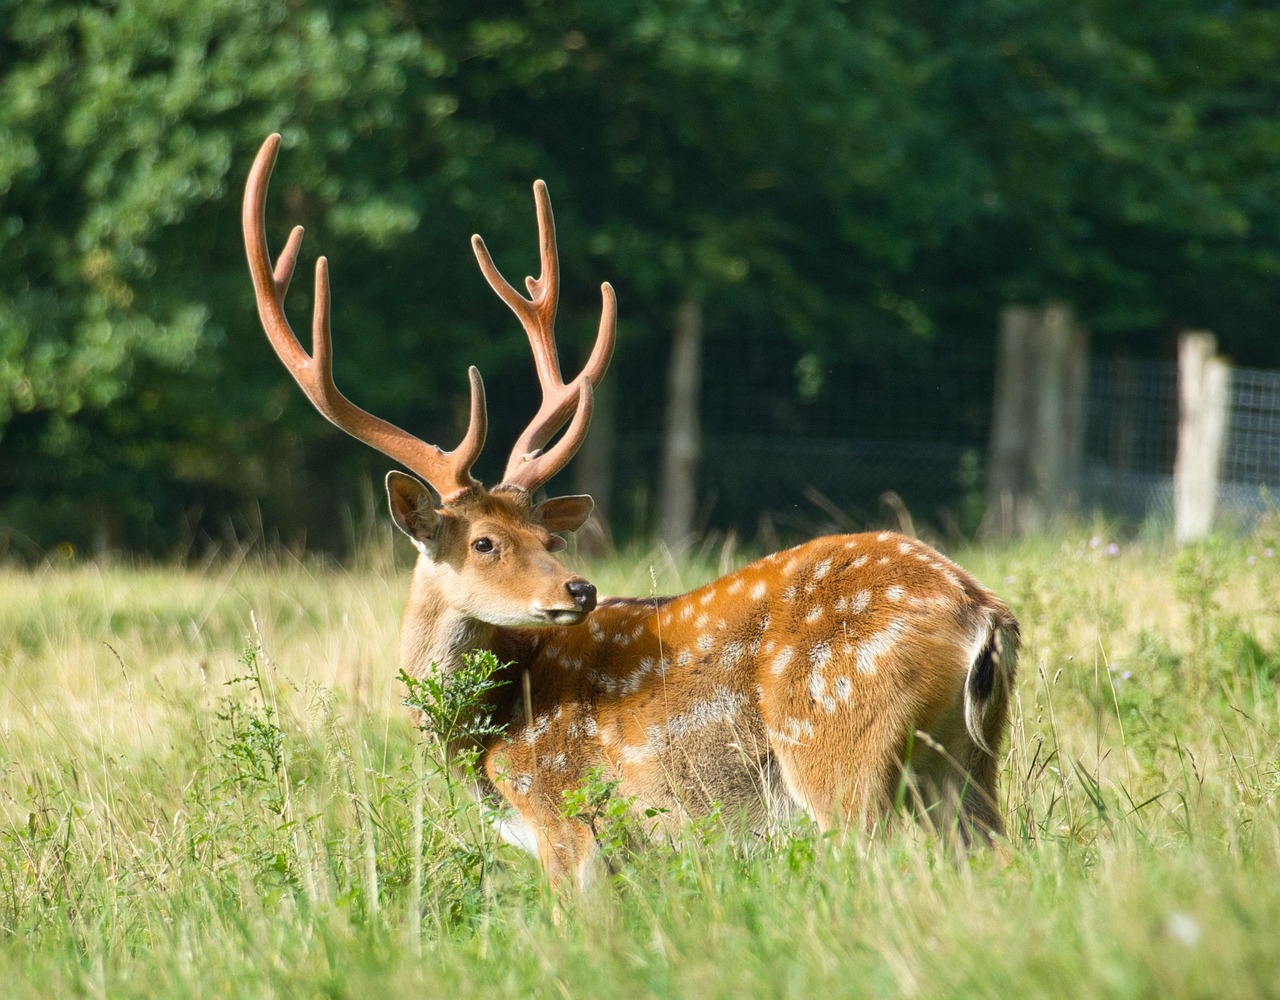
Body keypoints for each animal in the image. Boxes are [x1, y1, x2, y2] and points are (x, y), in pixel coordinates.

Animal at [243, 133, 1020, 889]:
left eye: (545, 539)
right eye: (487, 542)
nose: (579, 589)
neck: (489, 736)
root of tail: (982, 614)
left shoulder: (565, 815)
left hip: (840, 746)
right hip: (971, 764)